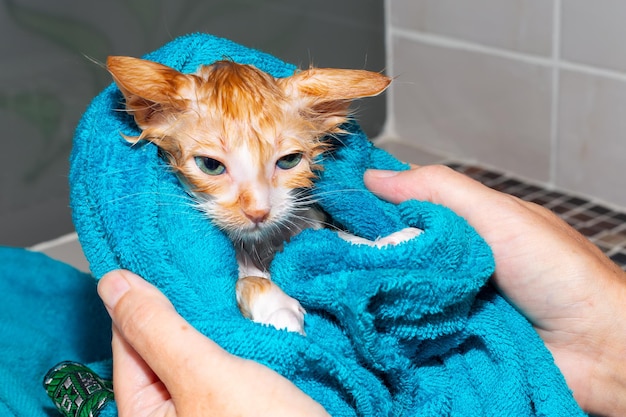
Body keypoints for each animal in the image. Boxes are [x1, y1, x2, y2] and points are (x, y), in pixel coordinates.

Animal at [107, 56, 420, 334]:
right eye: (210, 165)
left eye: (290, 160)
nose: (258, 211)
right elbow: (242, 282)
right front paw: (278, 309)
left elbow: (331, 241)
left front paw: (390, 242)